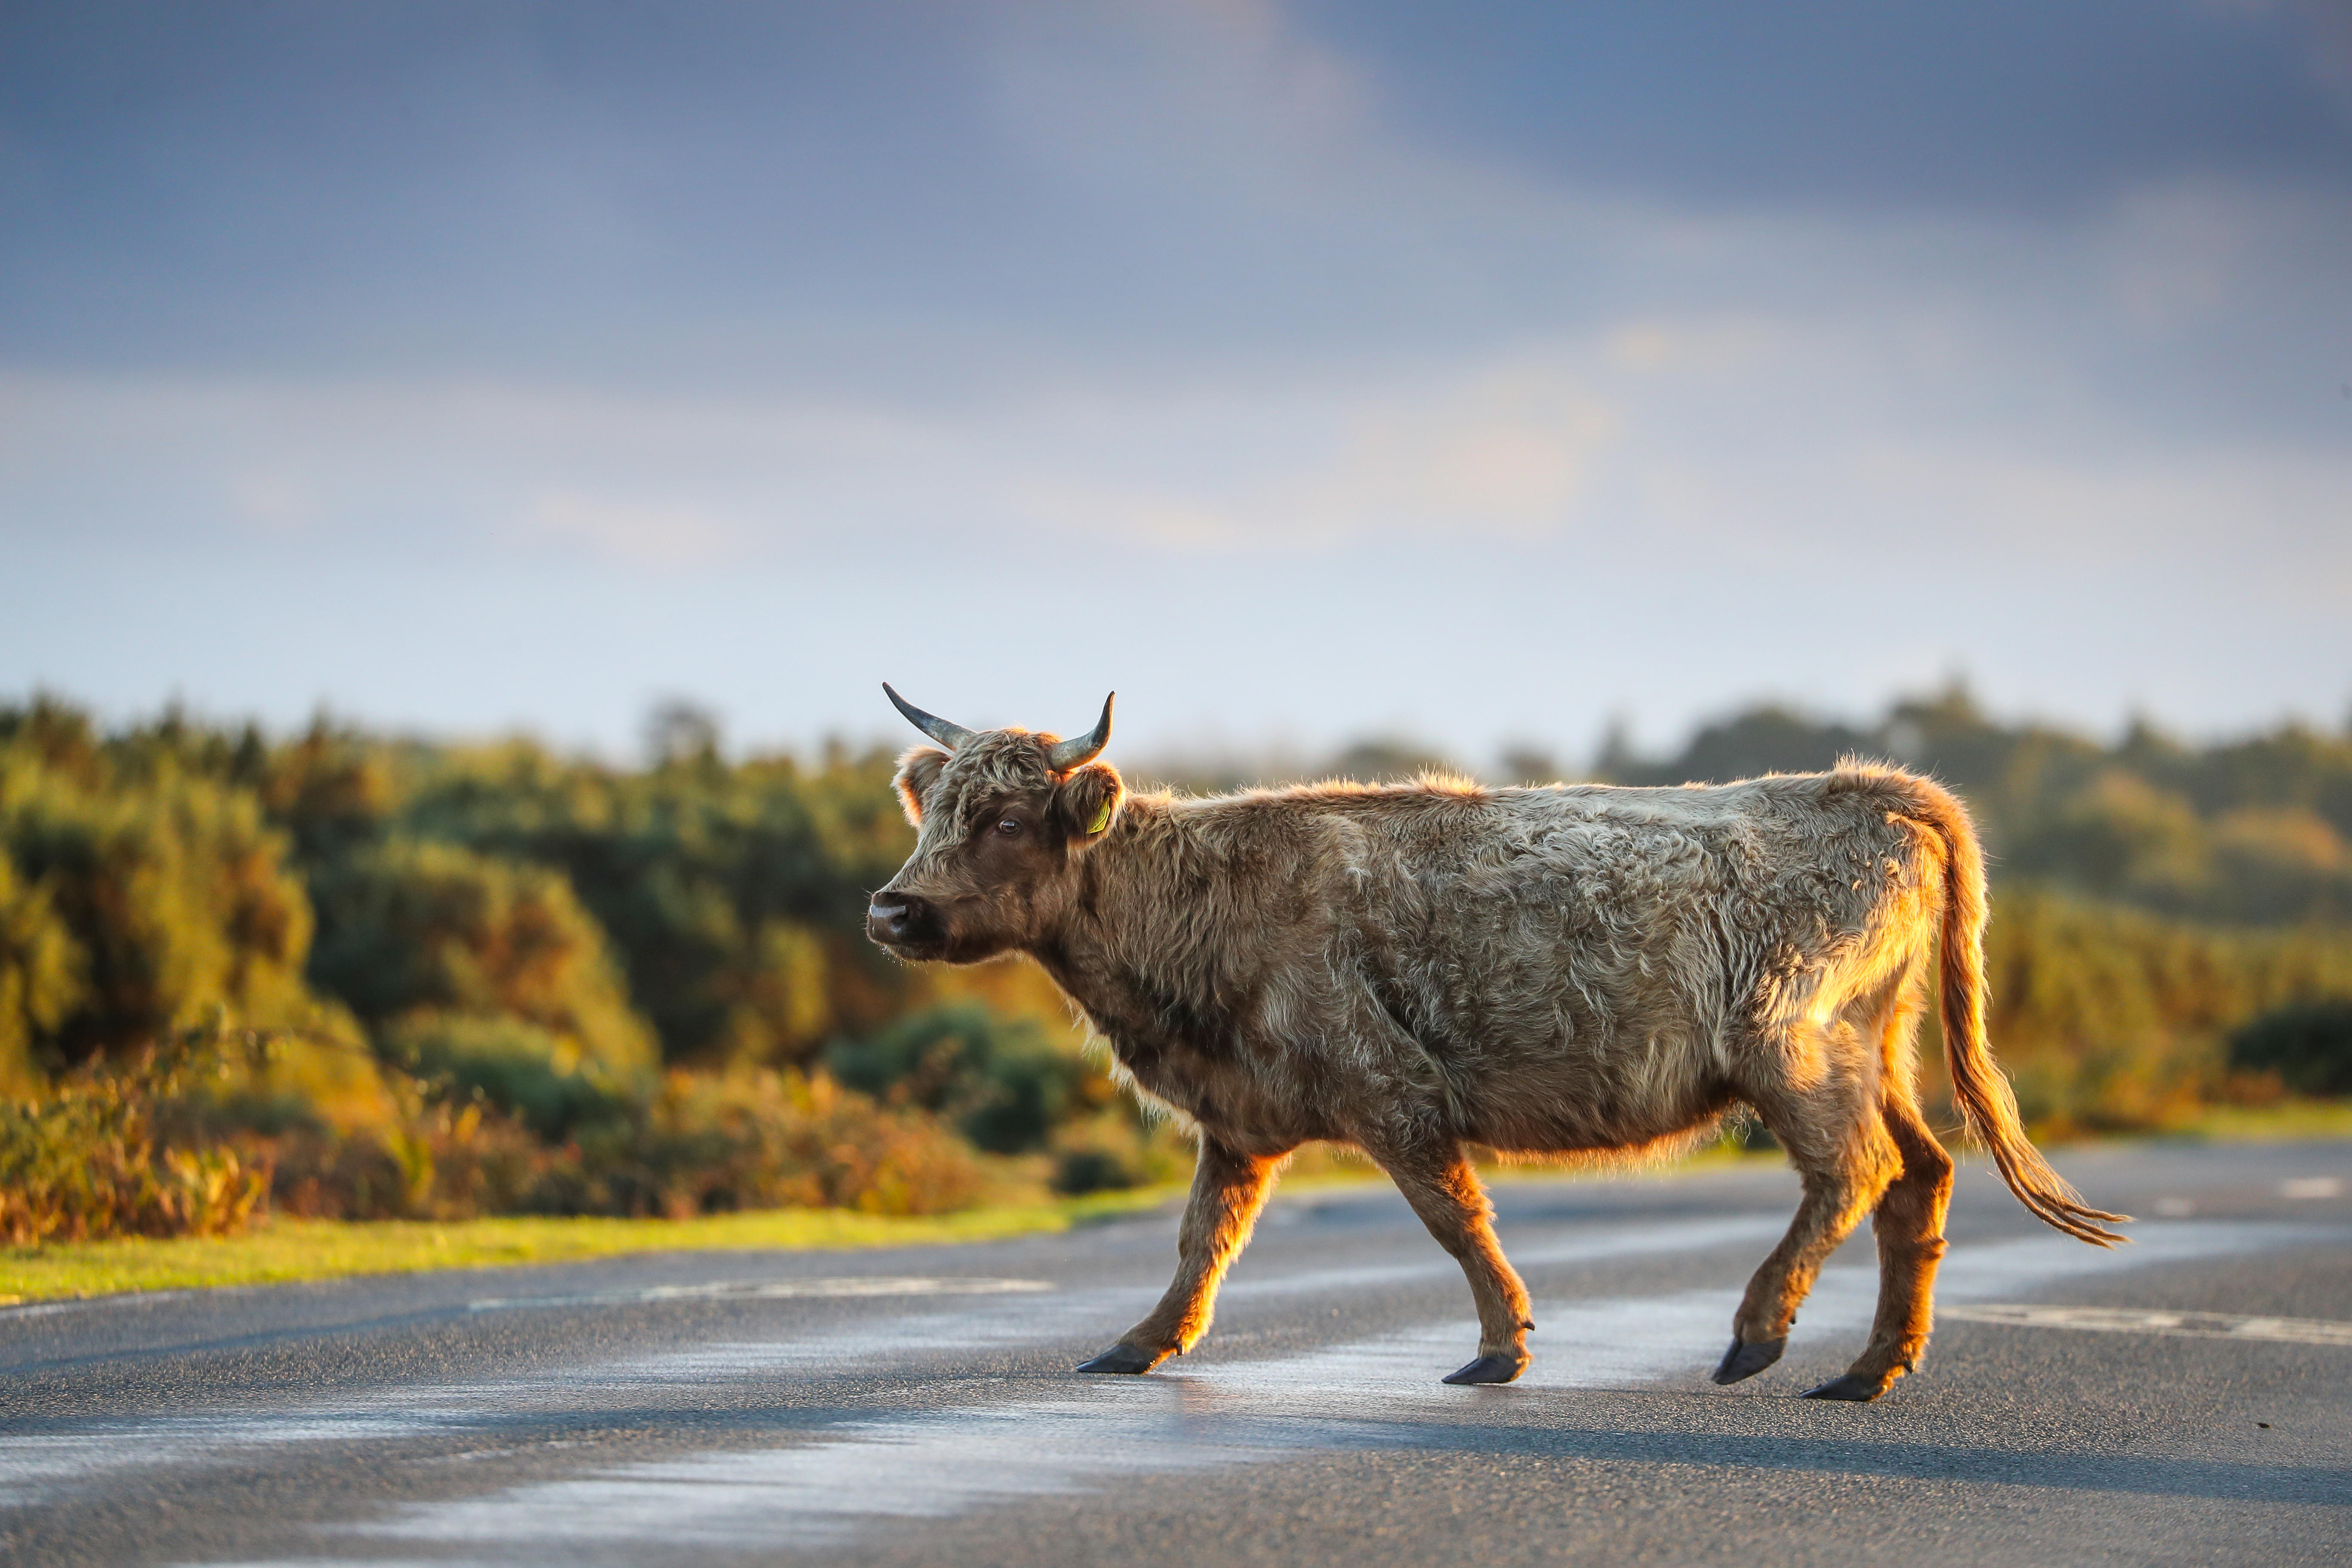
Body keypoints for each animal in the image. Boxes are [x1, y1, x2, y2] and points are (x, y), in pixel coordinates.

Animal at [870, 682, 2135, 1401]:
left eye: (1007, 818)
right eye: (933, 814)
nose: (891, 909)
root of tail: (1869, 785)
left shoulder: (1391, 1092)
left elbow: (1452, 1217)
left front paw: (1499, 1347)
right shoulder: (1237, 1123)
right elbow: (1199, 1243)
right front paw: (1138, 1344)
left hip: (1791, 1048)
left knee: (1853, 1171)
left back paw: (1757, 1334)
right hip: (1875, 1050)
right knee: (1918, 1175)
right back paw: (1871, 1371)